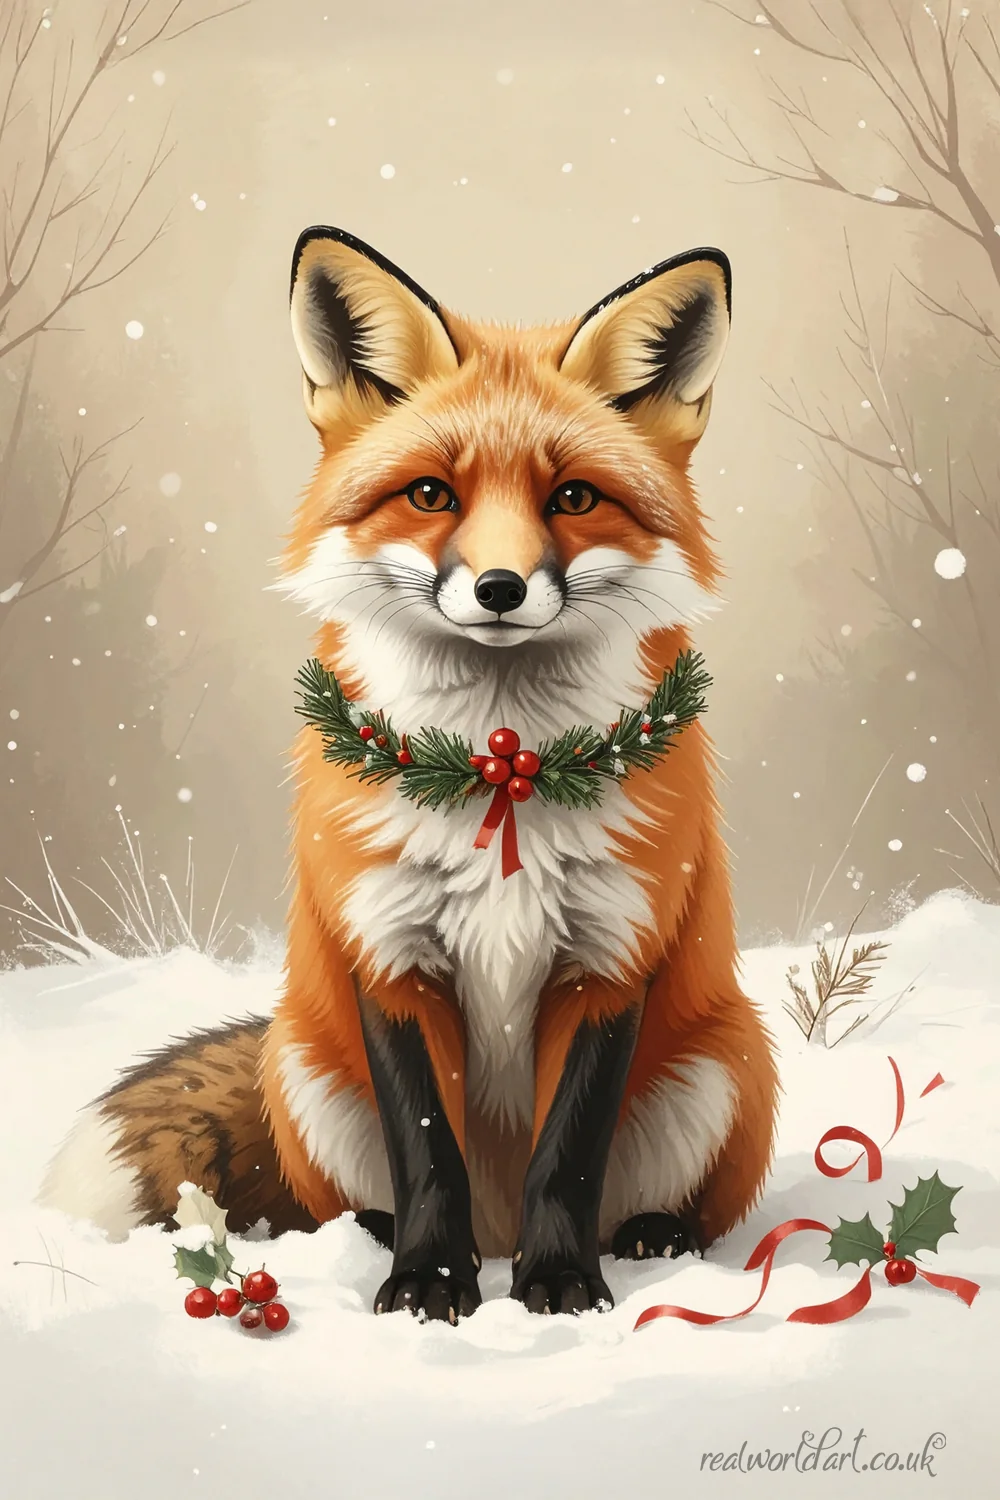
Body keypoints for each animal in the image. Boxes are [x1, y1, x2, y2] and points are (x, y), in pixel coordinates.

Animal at [39, 226, 778, 1321]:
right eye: (432, 494)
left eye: (572, 498)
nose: (501, 588)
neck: (498, 771)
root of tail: (496, 1231)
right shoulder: (389, 952)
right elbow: (428, 1147)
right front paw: (429, 1279)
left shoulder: (610, 957)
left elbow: (568, 1154)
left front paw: (561, 1283)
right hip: (305, 1065)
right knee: (363, 1198)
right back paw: (385, 1243)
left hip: (723, 1066)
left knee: (663, 1202)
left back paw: (648, 1238)